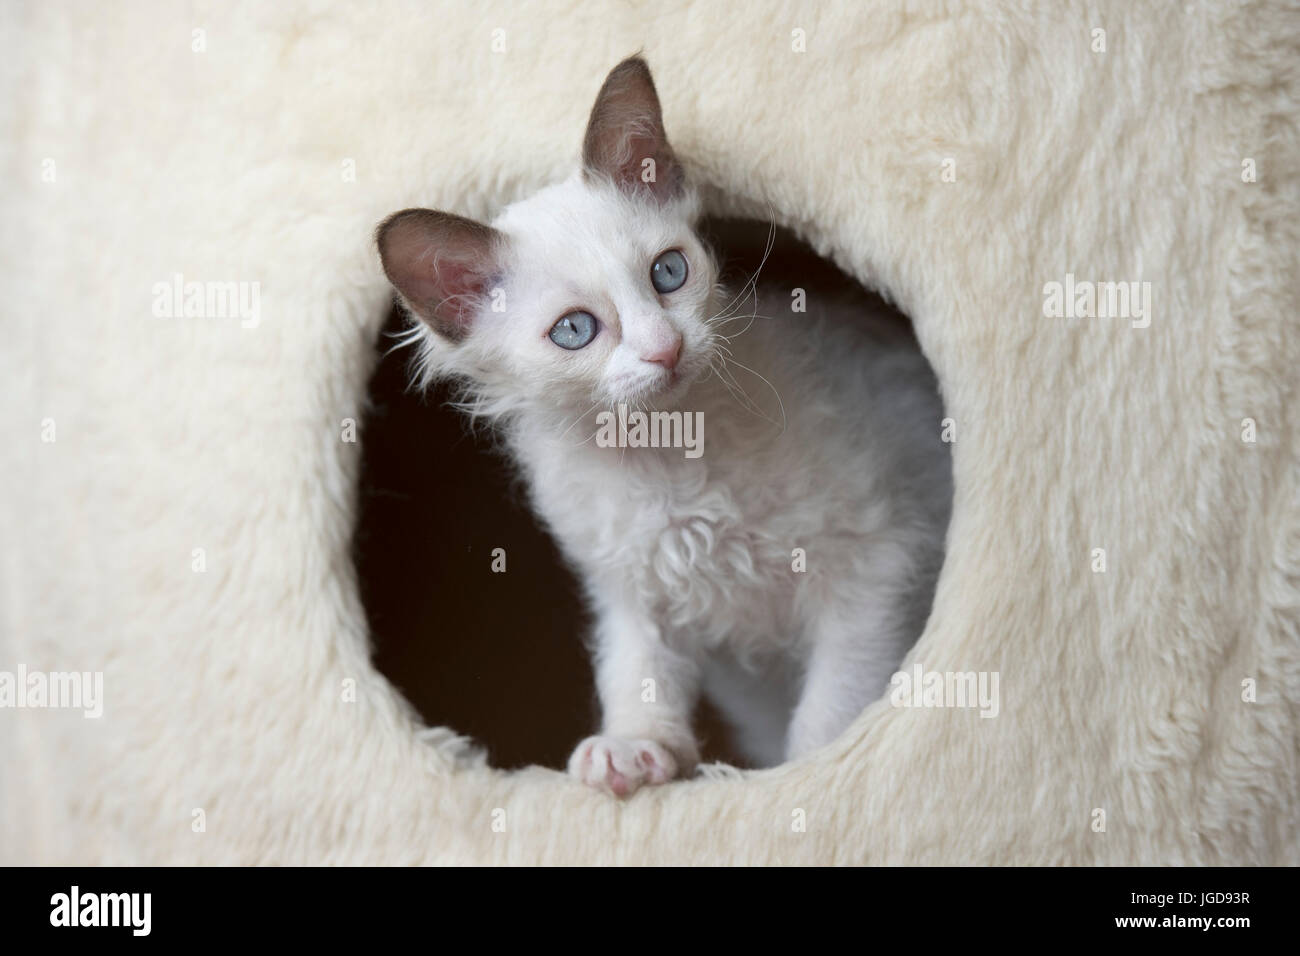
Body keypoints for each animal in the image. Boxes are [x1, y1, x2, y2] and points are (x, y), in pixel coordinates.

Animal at [379, 55, 951, 796]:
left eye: (669, 272)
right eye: (575, 330)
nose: (665, 348)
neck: (669, 457)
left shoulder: (876, 561)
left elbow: (833, 704)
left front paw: (803, 774)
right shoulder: (629, 587)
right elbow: (636, 671)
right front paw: (633, 748)